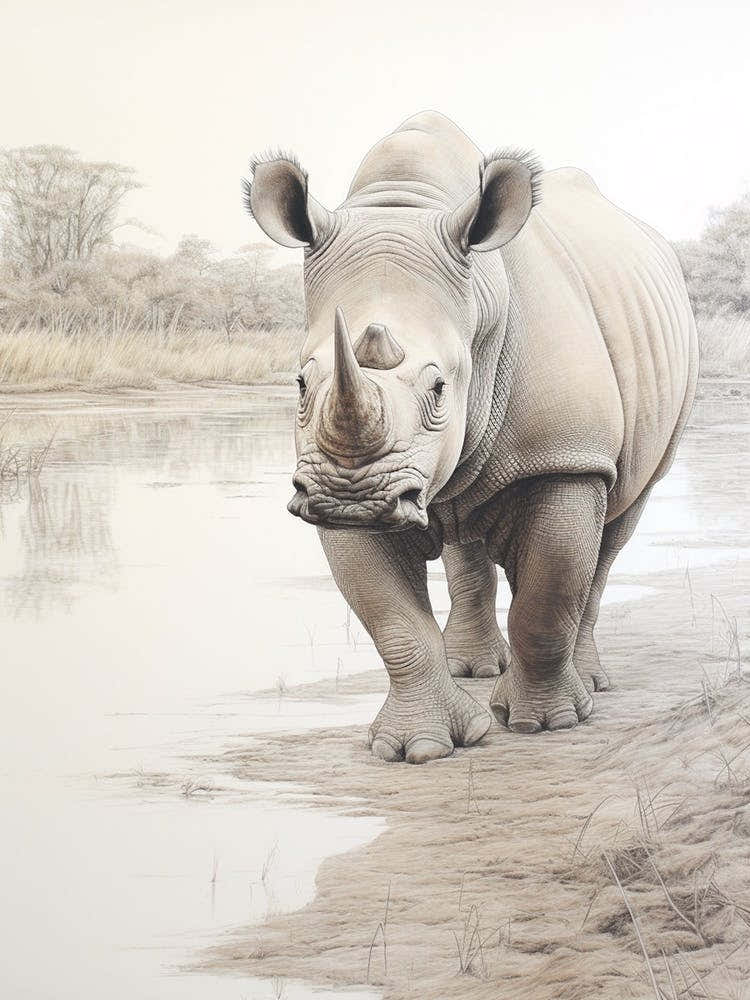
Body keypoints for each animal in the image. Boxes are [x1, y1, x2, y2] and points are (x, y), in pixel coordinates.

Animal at [246, 111, 698, 764]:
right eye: (301, 384)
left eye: (440, 389)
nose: (352, 497)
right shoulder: (327, 483)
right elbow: (393, 622)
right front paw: (417, 749)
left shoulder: (565, 458)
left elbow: (548, 597)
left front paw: (545, 724)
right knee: (466, 527)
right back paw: (474, 671)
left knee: (614, 531)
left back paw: (591, 686)